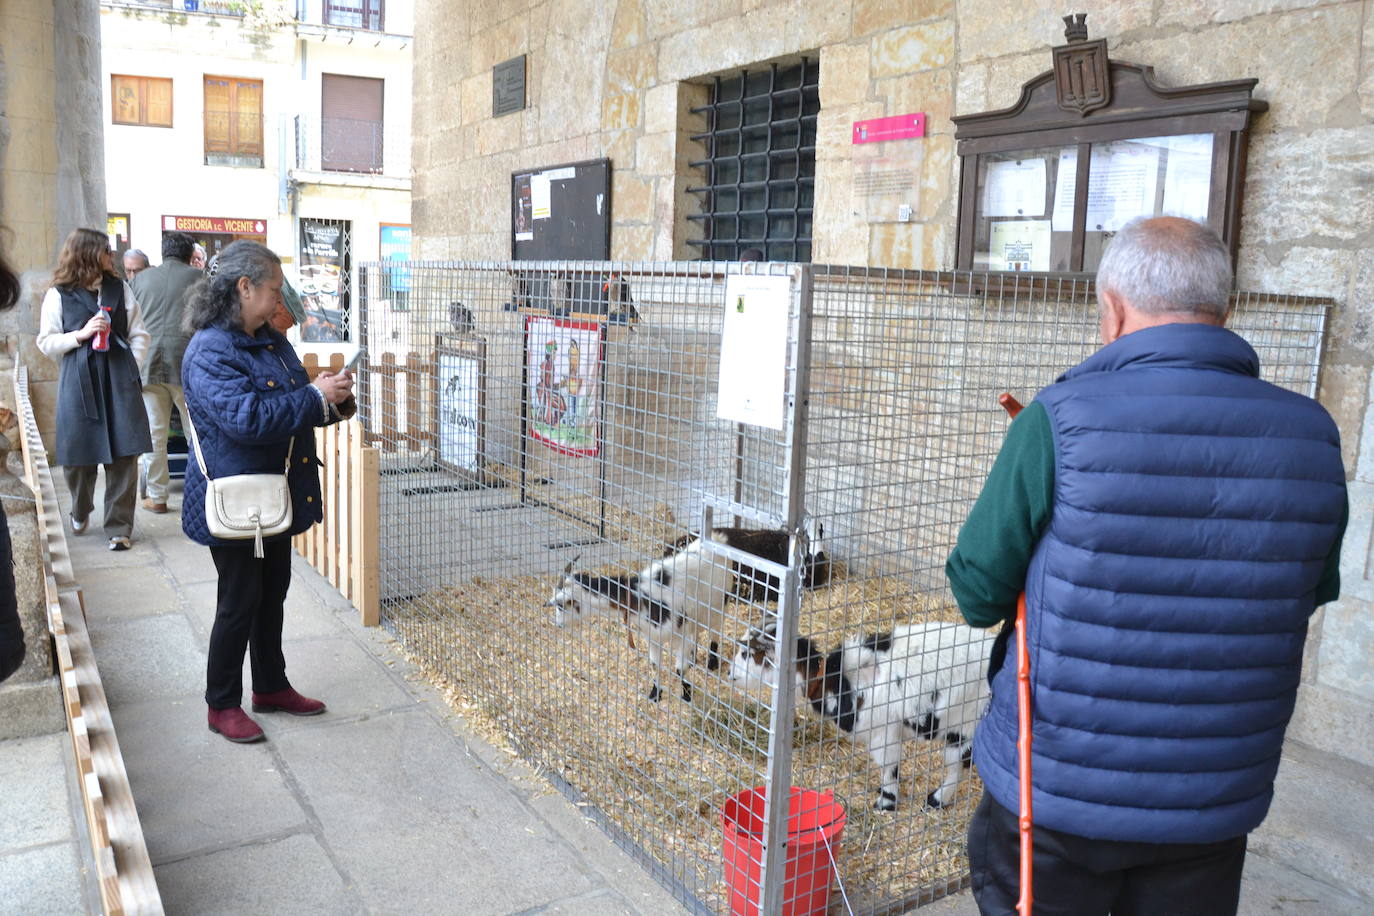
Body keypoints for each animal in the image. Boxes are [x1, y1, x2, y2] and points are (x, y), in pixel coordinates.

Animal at [549, 538, 736, 703]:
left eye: (560, 606)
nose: (558, 624)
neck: (641, 598)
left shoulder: (681, 634)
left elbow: (679, 669)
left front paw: (687, 695)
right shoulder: (652, 637)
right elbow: (655, 665)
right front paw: (655, 694)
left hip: (718, 606)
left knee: (715, 632)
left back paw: (712, 662)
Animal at [725, 615, 994, 807]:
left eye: (746, 653)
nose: (729, 673)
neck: (838, 681)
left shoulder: (883, 734)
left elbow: (889, 768)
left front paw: (886, 802)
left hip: (966, 724)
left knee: (959, 764)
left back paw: (936, 800)